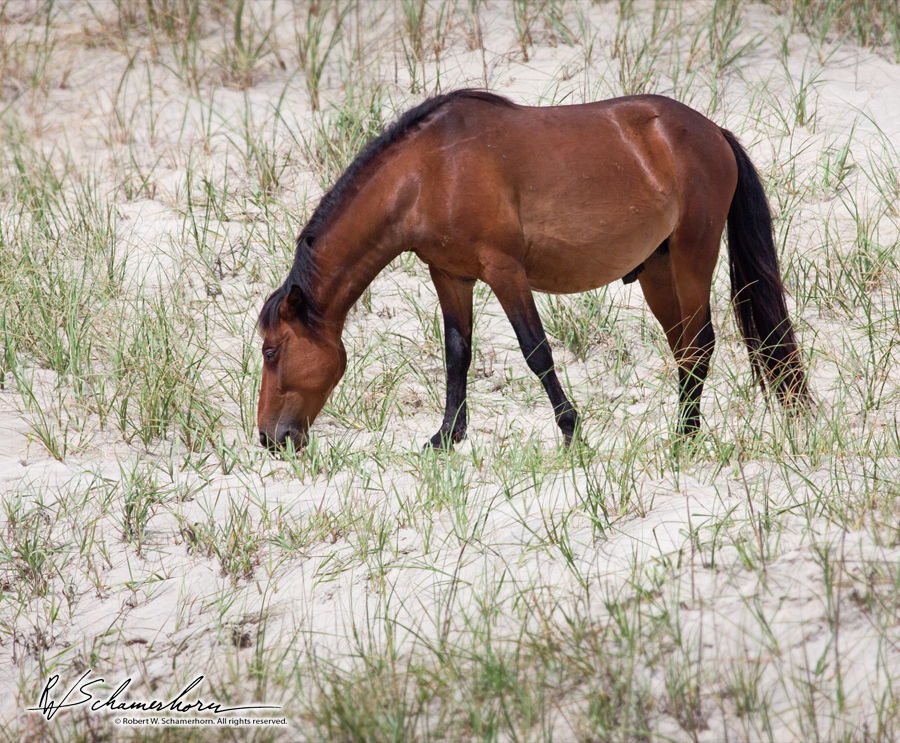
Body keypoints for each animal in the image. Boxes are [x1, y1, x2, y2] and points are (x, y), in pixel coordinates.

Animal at [256, 87, 812, 450]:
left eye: (271, 350)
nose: (269, 438)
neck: (429, 173)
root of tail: (712, 131)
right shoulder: (450, 275)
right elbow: (457, 354)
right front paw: (447, 436)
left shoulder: (505, 271)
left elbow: (535, 351)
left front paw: (570, 430)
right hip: (658, 270)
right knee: (684, 349)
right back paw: (684, 430)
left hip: (693, 257)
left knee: (699, 345)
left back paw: (686, 439)